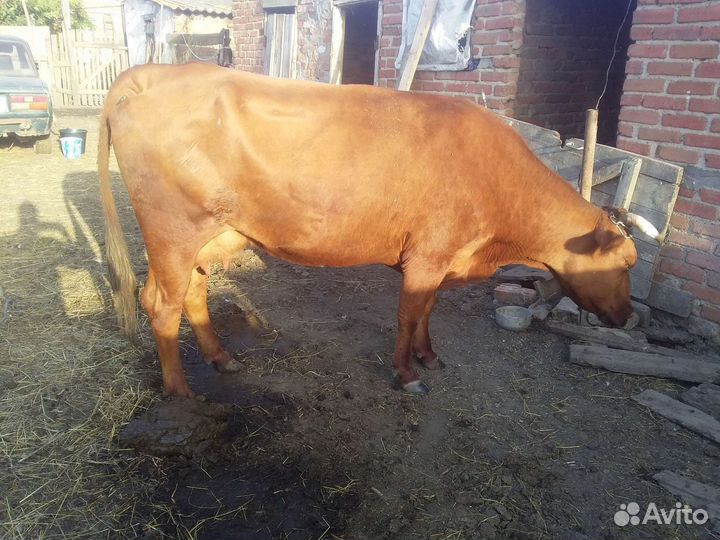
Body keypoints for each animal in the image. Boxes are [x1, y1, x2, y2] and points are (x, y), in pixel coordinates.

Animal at [98, 63, 661, 398]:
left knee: (191, 293)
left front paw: (428, 357)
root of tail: (155, 71)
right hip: (172, 231)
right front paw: (406, 374)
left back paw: (222, 359)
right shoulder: (428, 257)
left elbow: (427, 313)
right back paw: (179, 392)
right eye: (625, 262)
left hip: (211, 234)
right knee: (162, 305)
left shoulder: (440, 259)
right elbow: (408, 314)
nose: (628, 318)